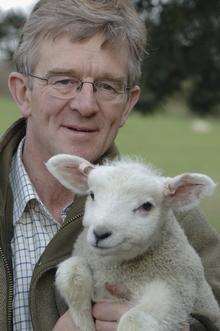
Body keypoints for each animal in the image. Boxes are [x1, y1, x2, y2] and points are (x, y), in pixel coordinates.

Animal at [45, 154, 219, 330]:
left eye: (147, 206)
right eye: (92, 194)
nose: (100, 233)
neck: (115, 268)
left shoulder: (176, 291)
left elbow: (134, 320)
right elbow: (71, 274)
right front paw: (84, 323)